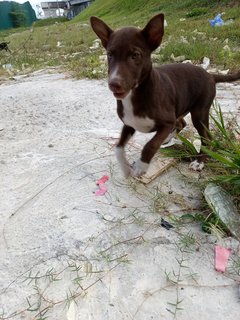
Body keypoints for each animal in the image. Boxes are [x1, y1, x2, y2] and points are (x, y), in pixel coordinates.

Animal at [90, 13, 240, 178]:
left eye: (135, 55)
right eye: (110, 55)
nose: (113, 84)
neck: (136, 94)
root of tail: (210, 75)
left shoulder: (166, 122)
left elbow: (150, 144)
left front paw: (141, 166)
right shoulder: (129, 124)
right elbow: (118, 147)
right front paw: (125, 168)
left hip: (199, 112)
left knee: (206, 137)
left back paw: (199, 161)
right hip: (181, 106)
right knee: (181, 123)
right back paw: (169, 139)